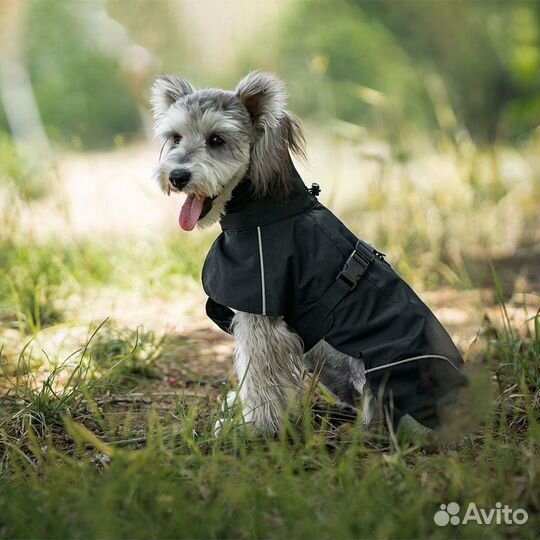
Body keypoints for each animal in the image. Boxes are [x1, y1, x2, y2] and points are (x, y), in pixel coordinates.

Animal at [150, 71, 466, 436]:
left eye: (216, 139)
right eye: (175, 137)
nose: (177, 176)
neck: (267, 211)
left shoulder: (262, 316)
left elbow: (259, 376)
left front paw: (254, 425)